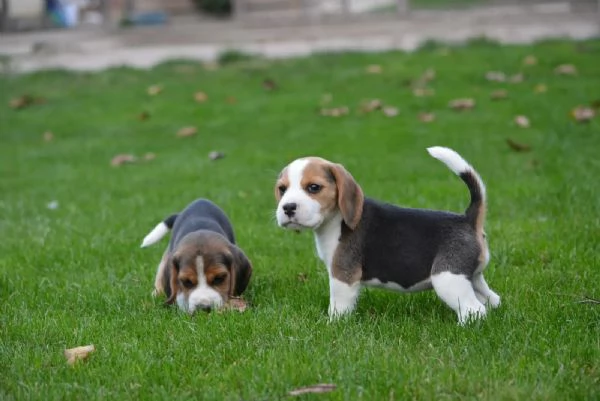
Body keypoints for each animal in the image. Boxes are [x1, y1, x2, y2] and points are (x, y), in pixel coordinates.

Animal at [276, 145, 502, 324]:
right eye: (282, 189)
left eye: (314, 187)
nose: (287, 207)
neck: (335, 219)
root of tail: (468, 219)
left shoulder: (343, 275)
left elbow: (338, 306)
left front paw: (332, 325)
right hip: (472, 278)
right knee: (492, 299)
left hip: (448, 279)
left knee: (474, 310)